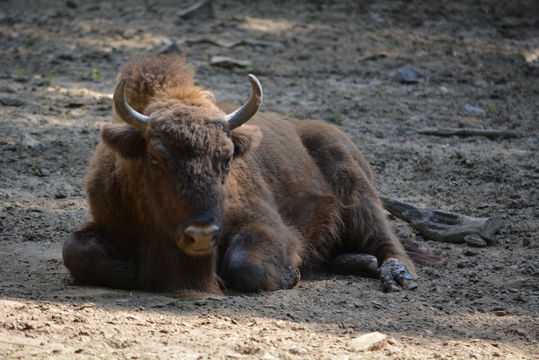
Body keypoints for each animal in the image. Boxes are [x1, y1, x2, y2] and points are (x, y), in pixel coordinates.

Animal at [63, 55, 418, 292]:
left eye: (226, 157)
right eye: (155, 159)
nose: (201, 234)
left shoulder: (264, 224)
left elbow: (244, 265)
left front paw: (291, 275)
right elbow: (75, 251)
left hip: (358, 194)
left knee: (386, 240)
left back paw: (397, 276)